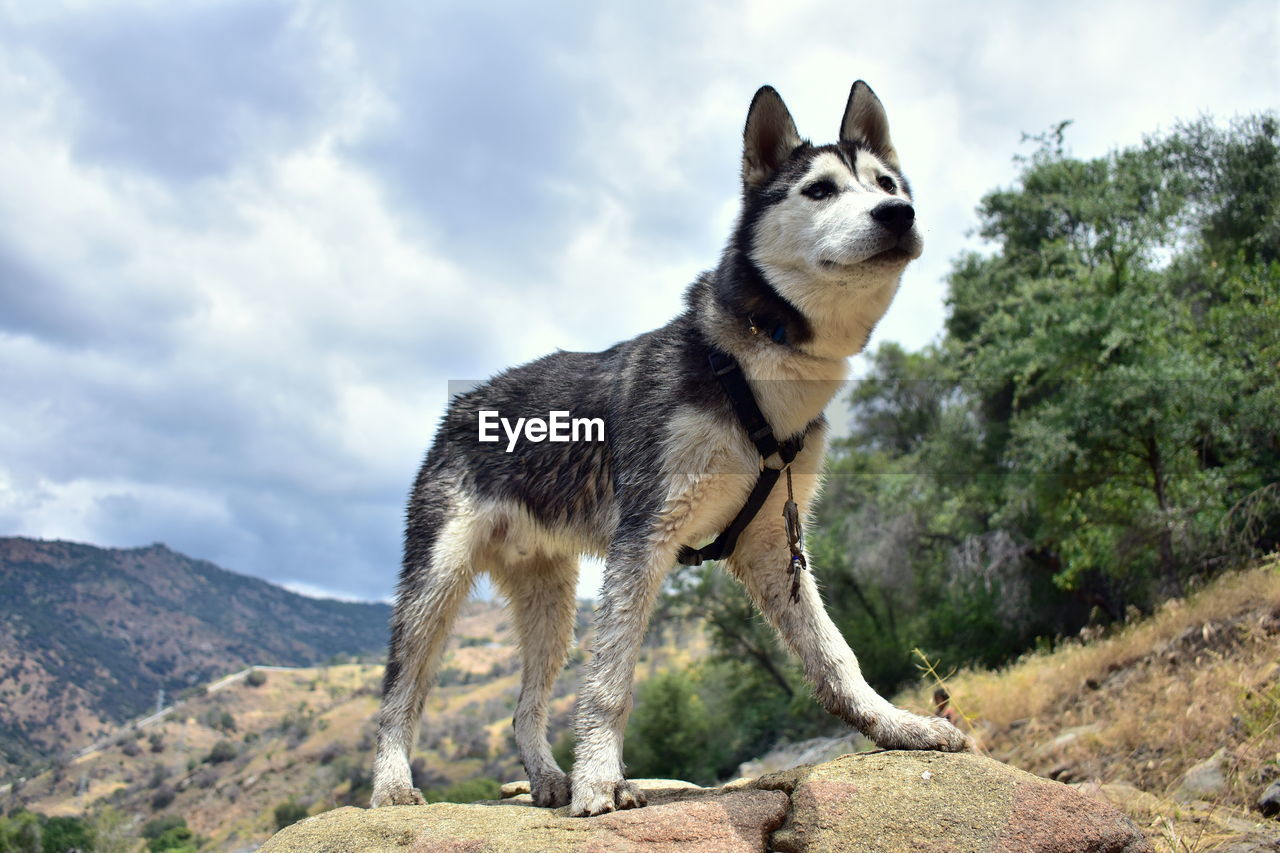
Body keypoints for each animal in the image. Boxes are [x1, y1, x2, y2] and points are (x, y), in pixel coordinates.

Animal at [371, 81, 967, 819]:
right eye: (821, 190)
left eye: (886, 183)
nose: (898, 213)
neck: (754, 370)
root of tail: (465, 402)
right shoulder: (646, 536)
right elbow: (610, 682)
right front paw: (601, 780)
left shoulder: (770, 546)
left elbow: (836, 656)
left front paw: (896, 725)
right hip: (436, 585)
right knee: (398, 692)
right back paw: (393, 785)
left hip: (553, 603)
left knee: (522, 708)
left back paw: (546, 777)